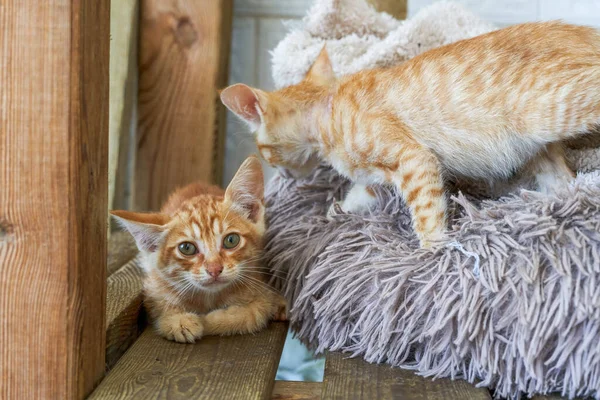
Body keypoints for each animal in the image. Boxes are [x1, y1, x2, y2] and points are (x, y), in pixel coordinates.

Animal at [110, 156, 288, 344]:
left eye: (231, 240)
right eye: (187, 248)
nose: (214, 269)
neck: (210, 297)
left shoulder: (260, 297)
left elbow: (247, 316)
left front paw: (207, 320)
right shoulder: (153, 283)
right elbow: (159, 303)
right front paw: (177, 320)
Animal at [219, 21, 600, 248]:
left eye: (263, 151)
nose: (280, 174)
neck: (328, 110)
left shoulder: (413, 159)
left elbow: (427, 212)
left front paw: (433, 251)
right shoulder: (374, 176)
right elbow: (361, 193)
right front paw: (338, 210)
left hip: (551, 109)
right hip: (541, 150)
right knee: (562, 181)